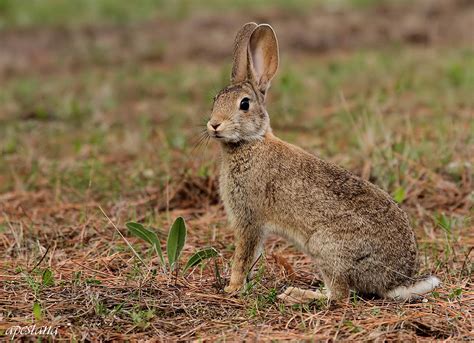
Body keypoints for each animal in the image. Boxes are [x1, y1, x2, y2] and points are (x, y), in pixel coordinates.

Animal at [206, 22, 438, 304]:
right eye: (215, 99)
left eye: (244, 104)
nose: (214, 125)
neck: (250, 143)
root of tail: (394, 281)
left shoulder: (249, 219)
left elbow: (243, 256)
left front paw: (232, 288)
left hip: (325, 246)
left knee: (339, 295)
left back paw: (296, 294)